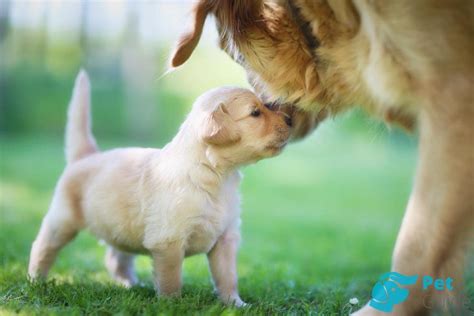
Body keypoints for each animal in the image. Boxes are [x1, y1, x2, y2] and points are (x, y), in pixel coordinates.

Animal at [28, 69, 292, 306]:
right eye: (255, 113)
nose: (290, 120)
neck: (215, 175)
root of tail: (86, 156)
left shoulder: (225, 238)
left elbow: (227, 277)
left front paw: (235, 303)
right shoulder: (168, 241)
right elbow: (171, 278)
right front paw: (171, 304)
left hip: (122, 227)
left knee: (116, 257)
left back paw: (131, 285)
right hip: (62, 220)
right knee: (42, 247)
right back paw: (36, 281)